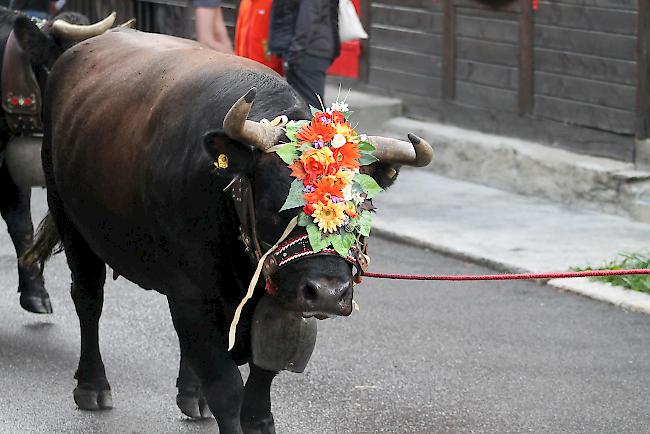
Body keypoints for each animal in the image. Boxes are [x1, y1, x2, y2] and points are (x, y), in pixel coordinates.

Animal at [26, 28, 430, 432]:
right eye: (276, 205)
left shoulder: (273, 299)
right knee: (88, 300)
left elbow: (261, 379)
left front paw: (259, 419)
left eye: (363, 208)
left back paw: (192, 396)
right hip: (70, 220)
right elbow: (226, 387)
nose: (328, 293)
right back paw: (92, 385)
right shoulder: (191, 295)